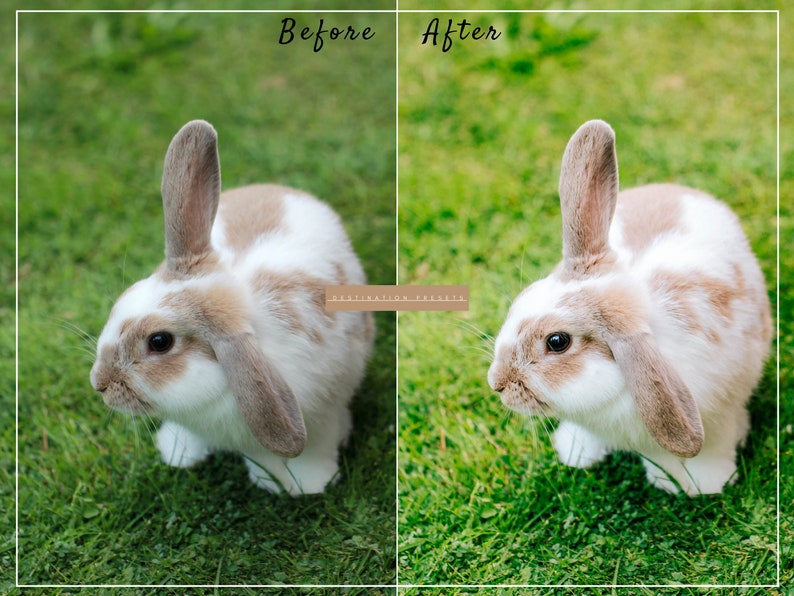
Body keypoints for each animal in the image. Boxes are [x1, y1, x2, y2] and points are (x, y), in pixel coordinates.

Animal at [90, 120, 374, 496]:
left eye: (159, 342)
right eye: (126, 298)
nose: (99, 383)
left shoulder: (320, 414)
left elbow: (313, 450)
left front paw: (309, 484)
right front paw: (178, 452)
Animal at [487, 120, 771, 496]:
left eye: (557, 342)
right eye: (525, 297)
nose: (497, 383)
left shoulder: (717, 417)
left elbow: (711, 450)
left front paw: (705, 484)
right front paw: (576, 452)